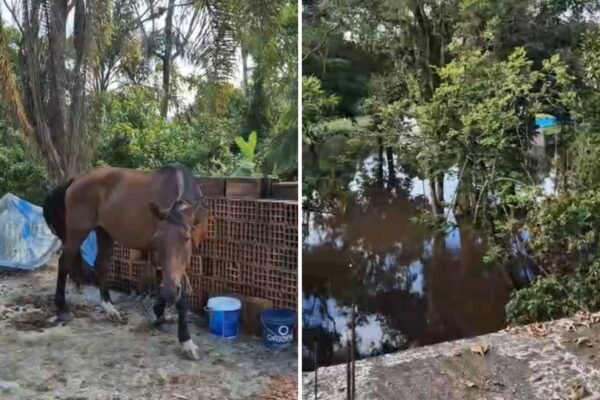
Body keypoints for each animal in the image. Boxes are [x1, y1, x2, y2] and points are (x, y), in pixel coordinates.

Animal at [43, 165, 207, 360]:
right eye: (157, 240)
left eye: (187, 238)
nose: (169, 293)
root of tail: (76, 180)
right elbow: (178, 294)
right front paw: (186, 342)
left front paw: (159, 311)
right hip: (78, 231)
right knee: (64, 262)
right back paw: (62, 309)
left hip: (103, 232)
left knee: (101, 264)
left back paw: (110, 309)